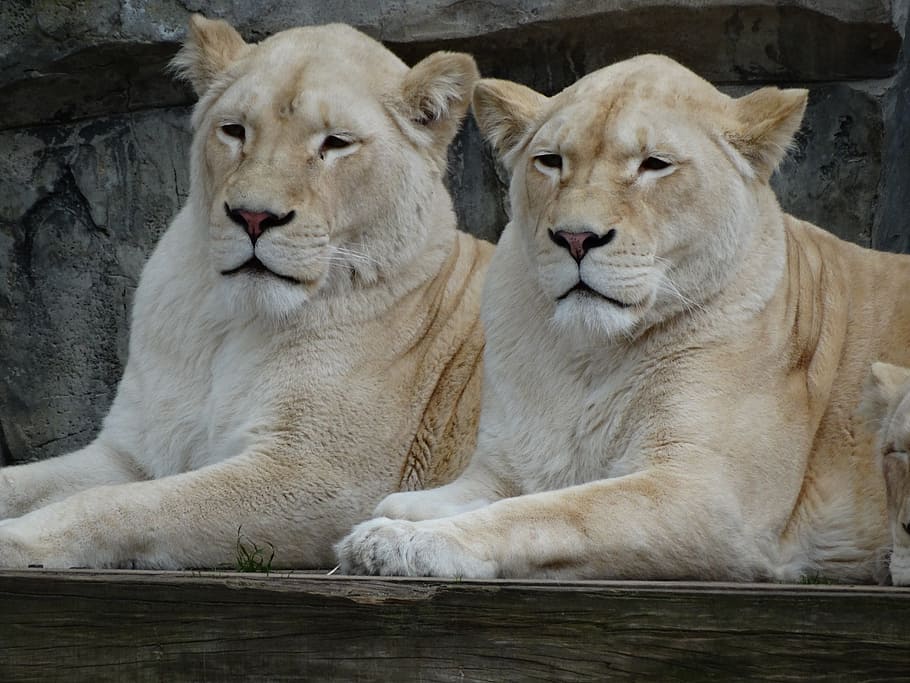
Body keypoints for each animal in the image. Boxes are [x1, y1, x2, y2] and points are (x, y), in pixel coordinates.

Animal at [0, 15, 493, 569]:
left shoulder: (324, 476)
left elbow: (126, 505)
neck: (232, 322)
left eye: (336, 143)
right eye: (234, 130)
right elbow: (27, 482)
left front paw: (18, 539)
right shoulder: (134, 451)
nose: (254, 217)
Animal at [337, 54, 910, 582]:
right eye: (550, 161)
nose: (575, 238)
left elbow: (553, 512)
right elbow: (467, 495)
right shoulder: (504, 467)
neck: (589, 355)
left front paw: (401, 542)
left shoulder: (710, 497)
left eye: (654, 164)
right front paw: (401, 517)